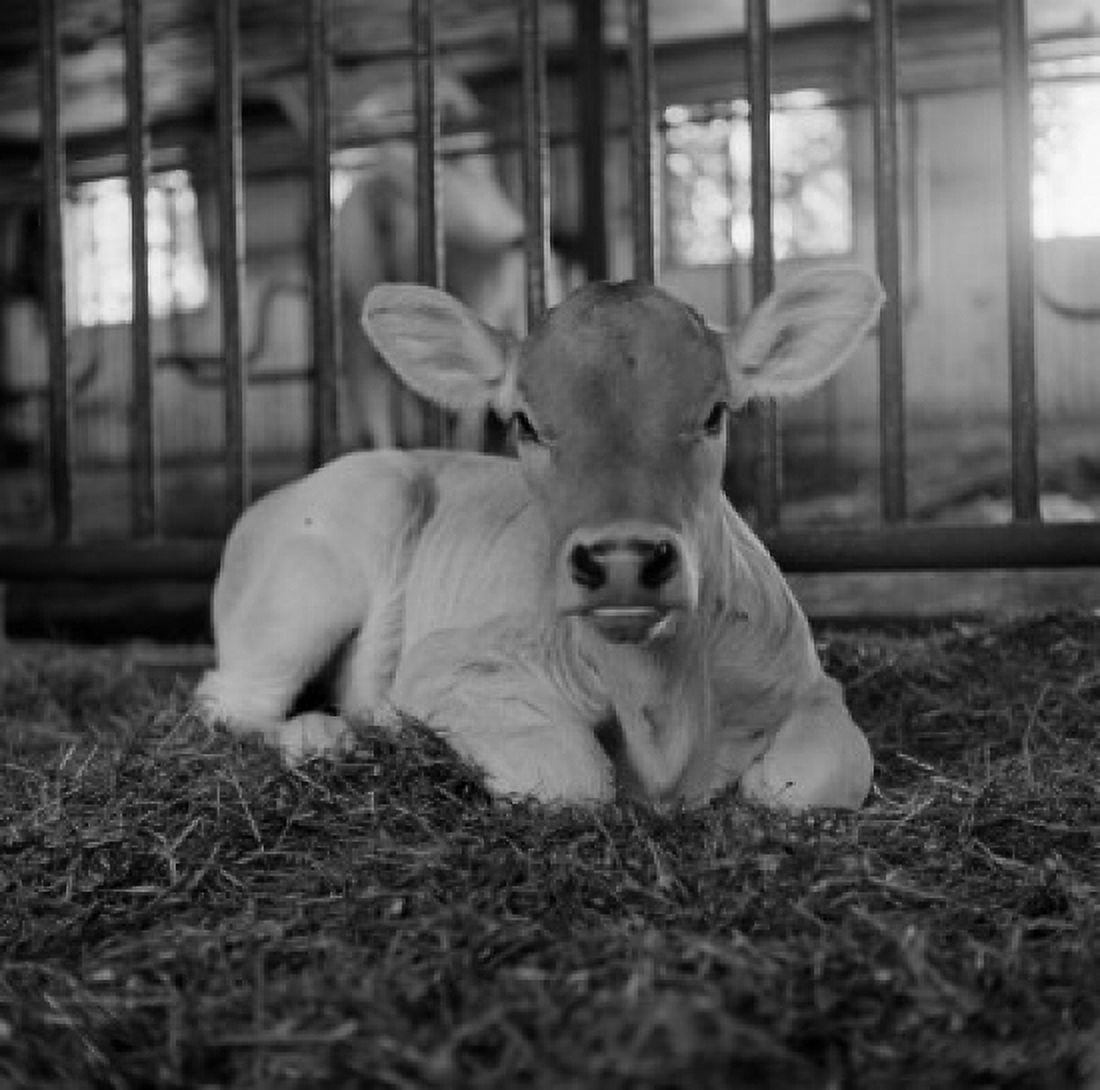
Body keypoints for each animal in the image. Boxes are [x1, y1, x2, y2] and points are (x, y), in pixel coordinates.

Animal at [195, 266, 883, 810]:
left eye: (714, 414)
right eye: (526, 423)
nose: (623, 559)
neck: (660, 717)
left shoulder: (806, 677)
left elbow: (817, 777)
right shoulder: (448, 664)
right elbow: (571, 778)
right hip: (330, 555)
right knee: (227, 701)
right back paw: (321, 737)